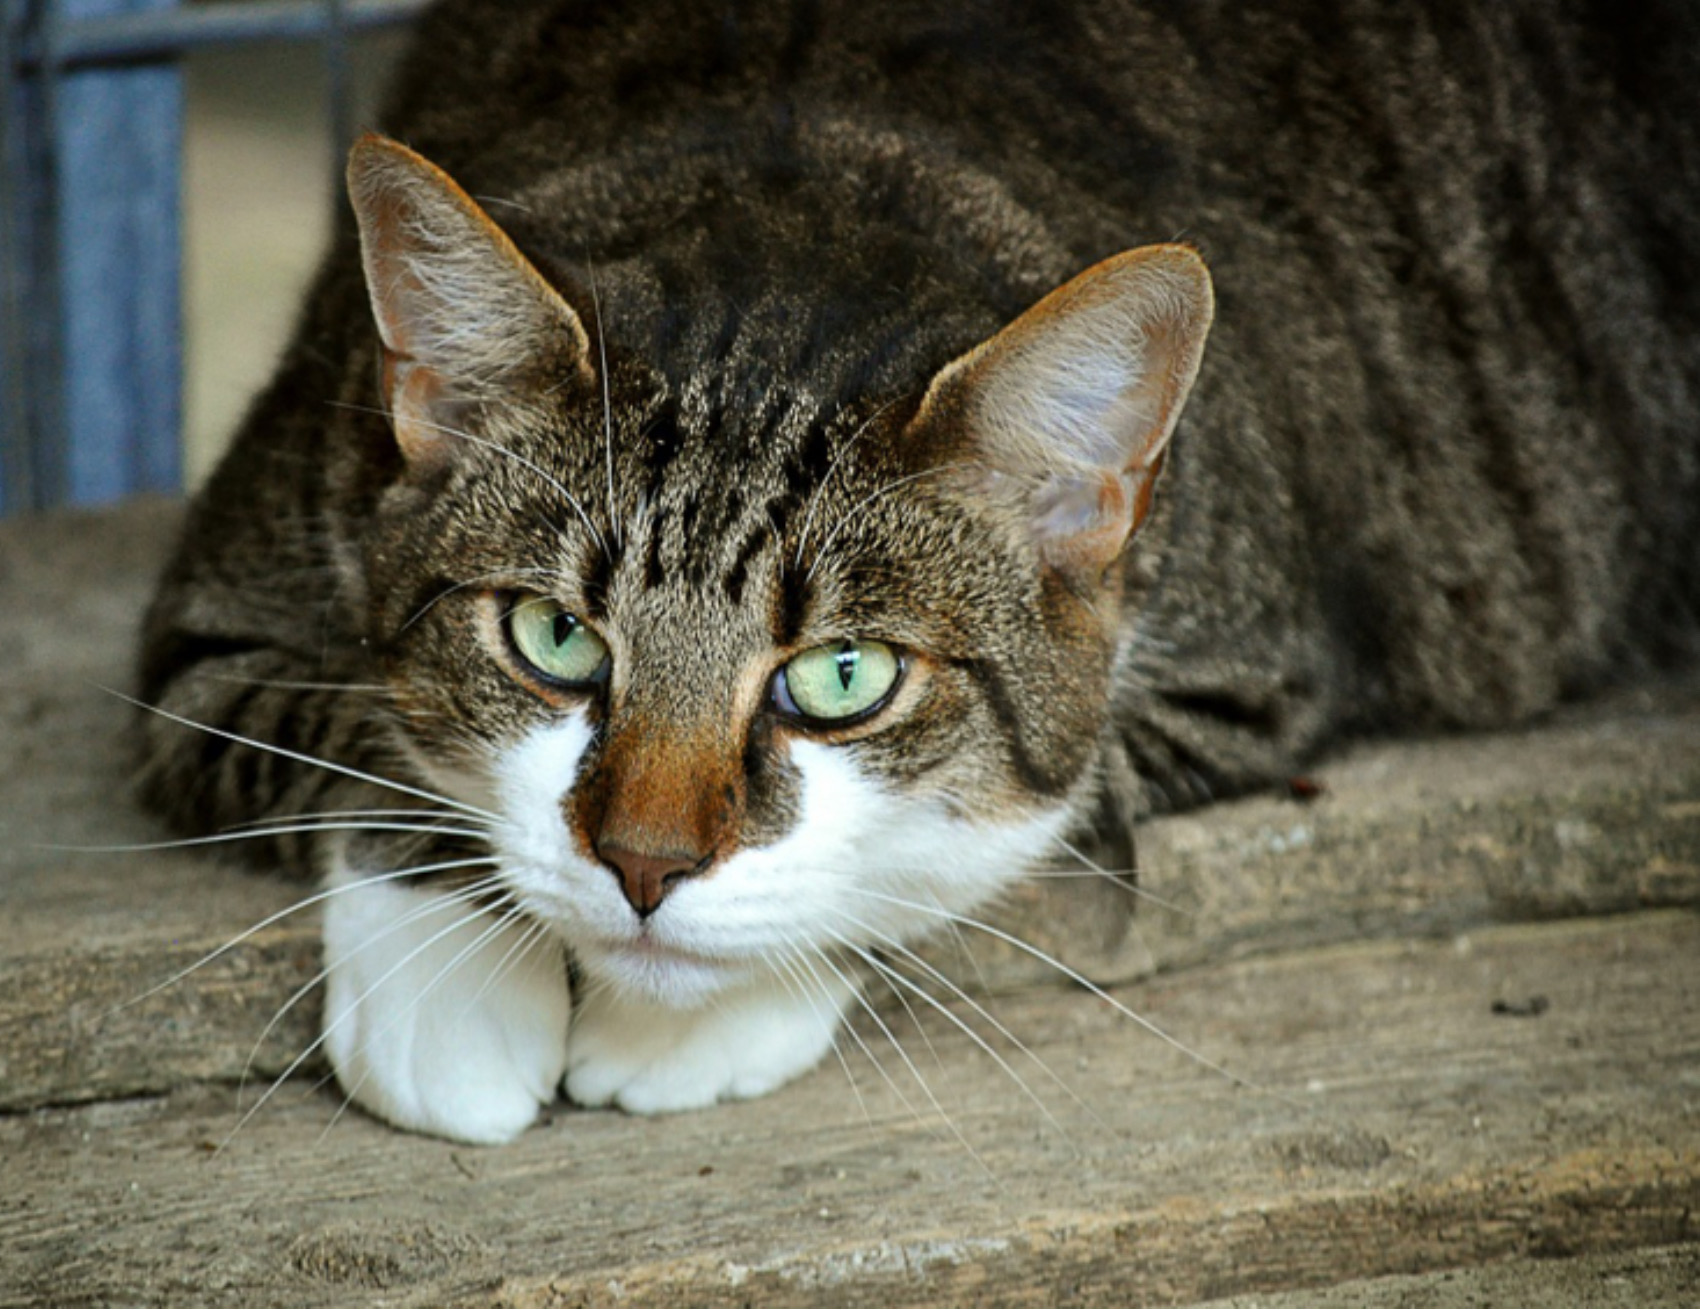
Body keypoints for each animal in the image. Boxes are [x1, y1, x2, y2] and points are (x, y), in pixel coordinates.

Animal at [136, 0, 1700, 1141]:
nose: (643, 866)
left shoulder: (1249, 673)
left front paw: (684, 1021)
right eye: (553, 639)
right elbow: (346, 729)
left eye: (843, 675)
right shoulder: (221, 602)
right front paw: (451, 993)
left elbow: (1000, 827)